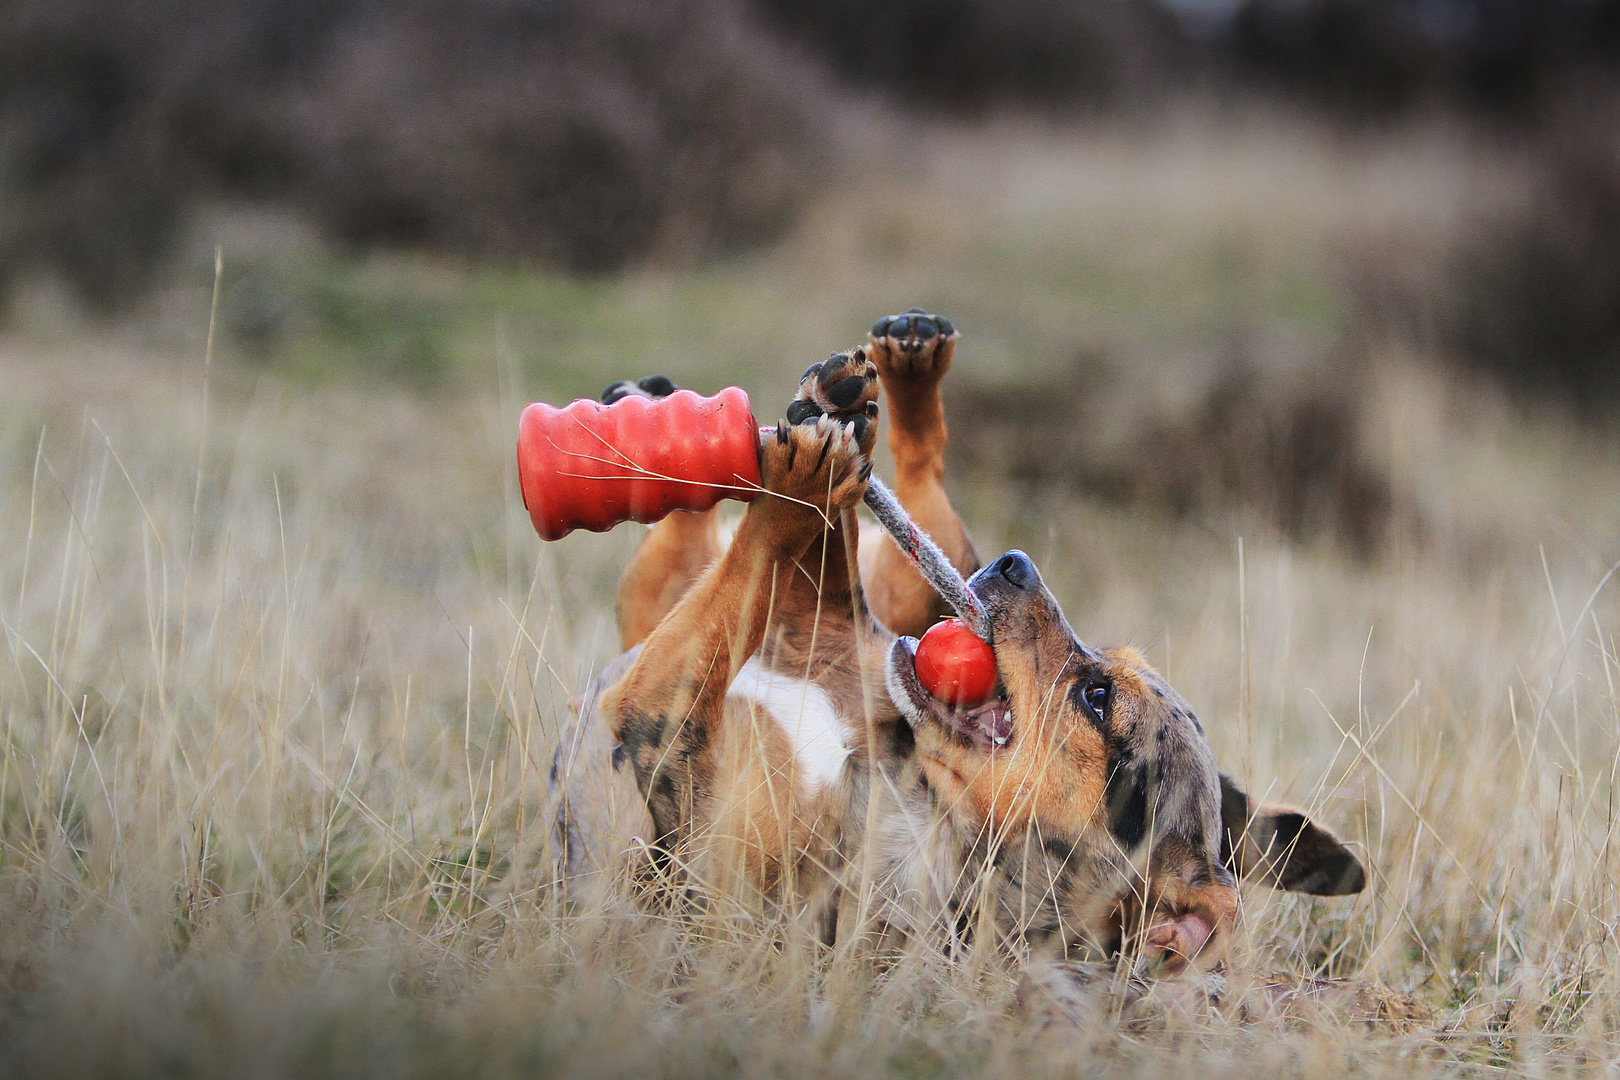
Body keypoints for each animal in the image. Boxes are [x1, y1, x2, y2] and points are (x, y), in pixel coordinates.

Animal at [550, 310, 1360, 977]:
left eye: (1097, 697)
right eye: (1113, 663)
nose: (1015, 564)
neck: (916, 794)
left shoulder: (665, 738)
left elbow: (754, 564)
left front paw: (805, 473)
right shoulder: (825, 622)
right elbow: (815, 560)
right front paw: (838, 416)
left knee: (708, 553)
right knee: (886, 508)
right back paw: (872, 378)